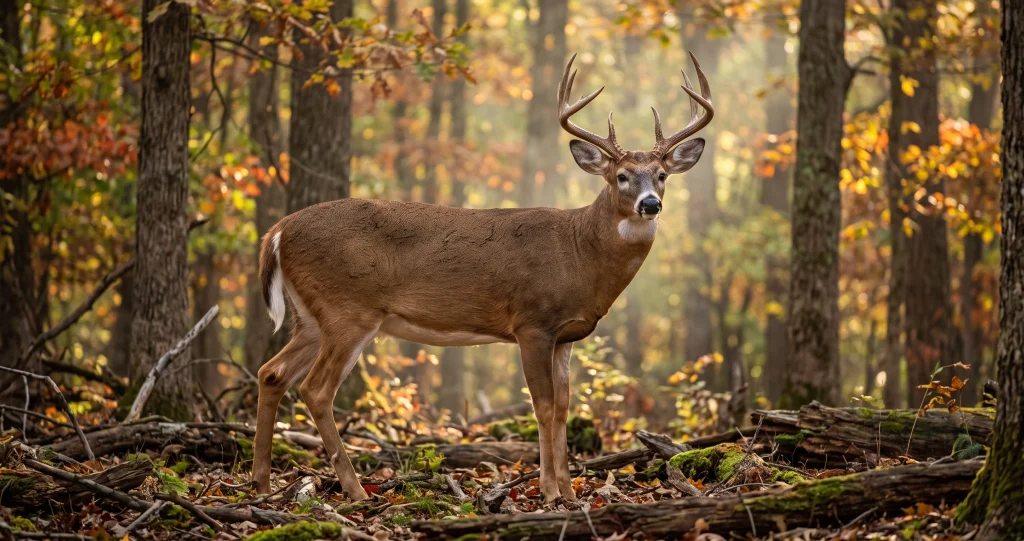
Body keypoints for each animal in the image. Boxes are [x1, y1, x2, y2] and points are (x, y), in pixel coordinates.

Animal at [251, 52, 713, 502]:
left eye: (662, 175)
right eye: (621, 176)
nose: (650, 204)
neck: (579, 251)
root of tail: (278, 231)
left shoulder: (566, 336)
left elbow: (564, 408)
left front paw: (569, 490)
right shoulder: (531, 322)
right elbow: (543, 406)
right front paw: (549, 492)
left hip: (311, 317)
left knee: (271, 373)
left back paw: (261, 483)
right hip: (348, 310)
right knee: (315, 389)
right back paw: (353, 489)